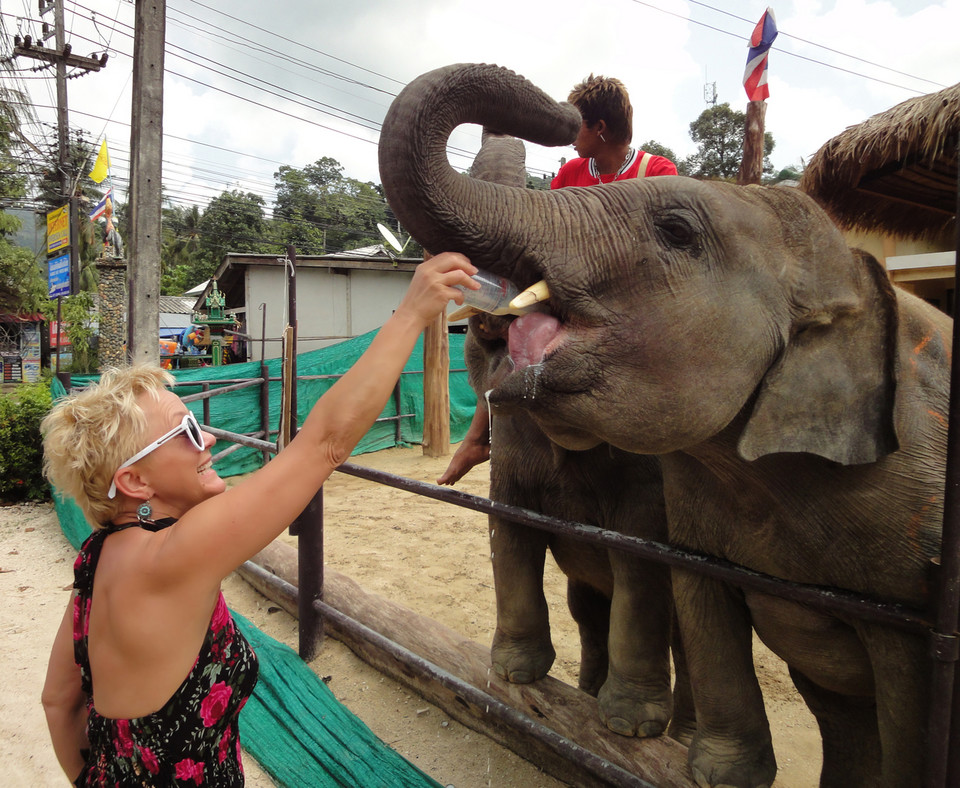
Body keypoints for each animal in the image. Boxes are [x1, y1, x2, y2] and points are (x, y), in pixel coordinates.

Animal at [382, 64, 952, 788]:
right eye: (481, 348)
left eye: (677, 232)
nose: (564, 117)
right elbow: (510, 530)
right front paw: (515, 676)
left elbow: (642, 562)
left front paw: (629, 727)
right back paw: (588, 695)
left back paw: (668, 736)